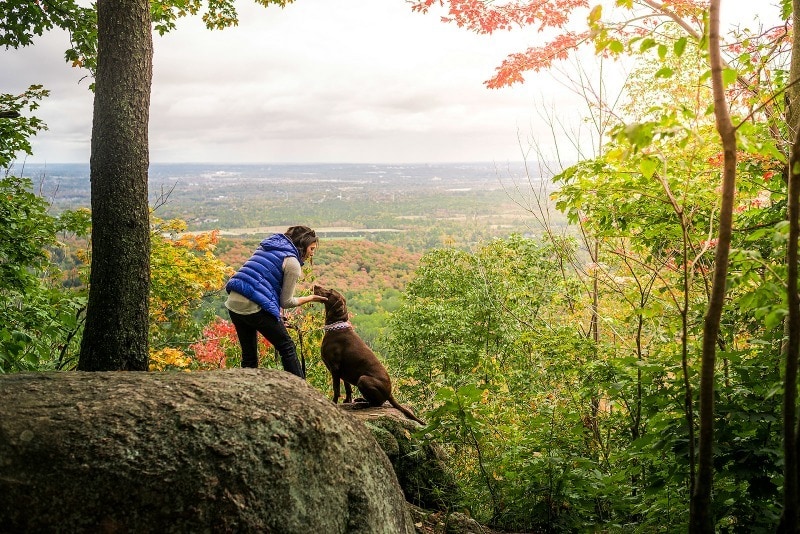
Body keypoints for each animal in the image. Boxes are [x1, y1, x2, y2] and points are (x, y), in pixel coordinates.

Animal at [312, 284, 424, 428]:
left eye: (330, 291)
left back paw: (361, 404)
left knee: (376, 403)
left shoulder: (335, 368)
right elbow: (348, 388)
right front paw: (347, 401)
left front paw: (334, 404)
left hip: (363, 379)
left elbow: (336, 390)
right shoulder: (343, 371)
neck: (336, 327)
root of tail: (390, 393)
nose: (315, 285)